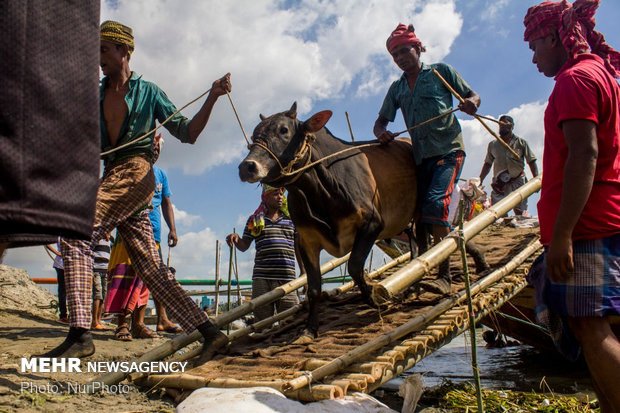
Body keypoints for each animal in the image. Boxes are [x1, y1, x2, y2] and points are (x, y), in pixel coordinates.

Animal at [237, 102, 416, 334]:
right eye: (253, 134)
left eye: (284, 130)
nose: (247, 166)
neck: (321, 191)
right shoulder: (306, 241)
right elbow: (314, 287)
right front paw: (310, 328)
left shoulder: (372, 224)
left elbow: (355, 266)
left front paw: (374, 296)